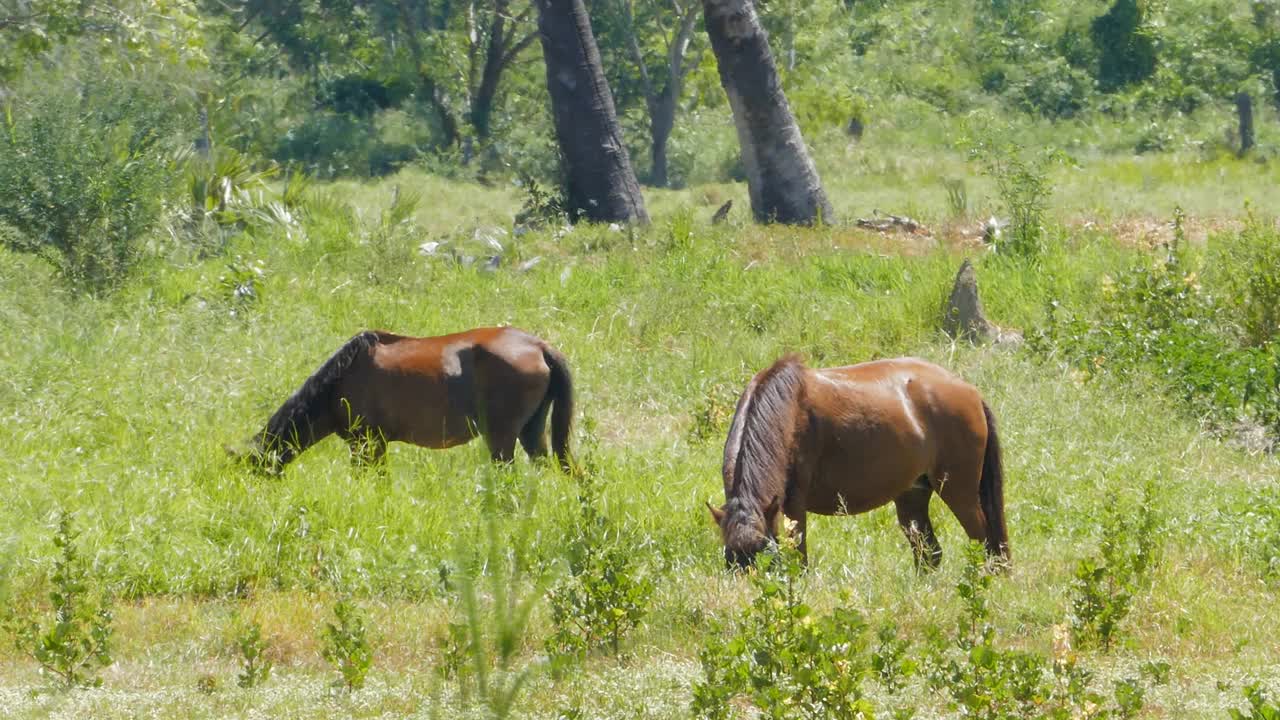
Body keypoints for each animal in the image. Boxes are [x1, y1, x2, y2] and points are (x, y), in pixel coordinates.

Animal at [236, 325, 576, 471]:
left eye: (253, 469)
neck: (340, 380)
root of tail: (539, 346)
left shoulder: (367, 444)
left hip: (502, 438)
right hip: (530, 432)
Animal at [711, 351, 1008, 566]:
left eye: (766, 557)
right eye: (730, 561)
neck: (787, 411)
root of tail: (970, 391)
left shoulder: (794, 505)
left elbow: (799, 559)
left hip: (959, 493)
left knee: (984, 543)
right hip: (913, 495)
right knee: (929, 553)